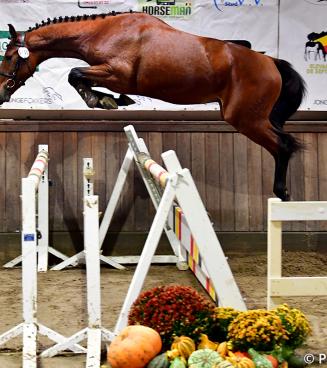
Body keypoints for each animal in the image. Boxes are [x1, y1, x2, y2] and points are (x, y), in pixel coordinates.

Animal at [0, 10, 308, 201]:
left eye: (10, 56)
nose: (2, 91)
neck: (103, 31)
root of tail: (270, 62)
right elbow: (80, 77)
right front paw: (110, 100)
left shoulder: (117, 73)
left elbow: (74, 74)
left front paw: (101, 99)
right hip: (250, 118)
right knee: (283, 144)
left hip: (246, 119)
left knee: (284, 146)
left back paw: (282, 193)